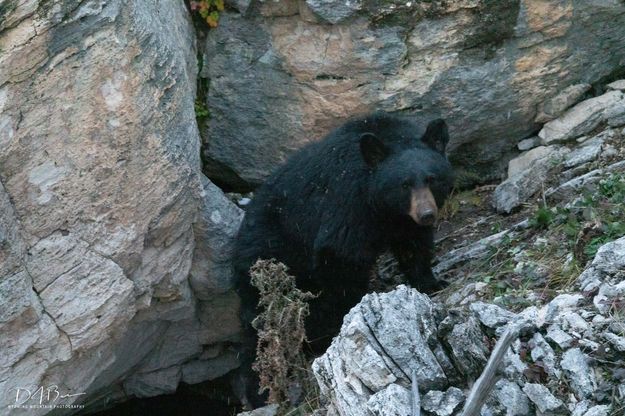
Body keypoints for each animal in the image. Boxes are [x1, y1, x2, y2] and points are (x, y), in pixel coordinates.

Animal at [232, 111, 450, 406]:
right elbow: (340, 256)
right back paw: (261, 390)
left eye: (431, 178)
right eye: (404, 184)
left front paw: (431, 282)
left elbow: (414, 245)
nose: (426, 214)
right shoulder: (346, 203)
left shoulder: (402, 221)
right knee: (262, 327)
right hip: (269, 260)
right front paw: (351, 310)